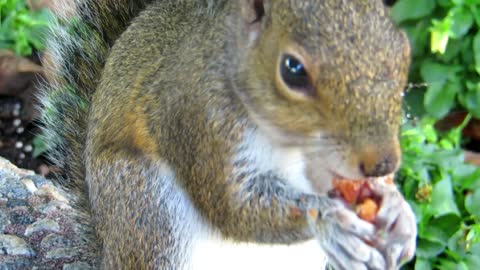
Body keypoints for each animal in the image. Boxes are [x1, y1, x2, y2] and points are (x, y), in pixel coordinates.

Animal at [41, 0, 416, 268]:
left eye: (403, 48)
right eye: (292, 70)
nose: (383, 163)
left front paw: (399, 211)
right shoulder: (198, 118)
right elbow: (232, 207)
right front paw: (328, 220)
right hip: (147, 209)